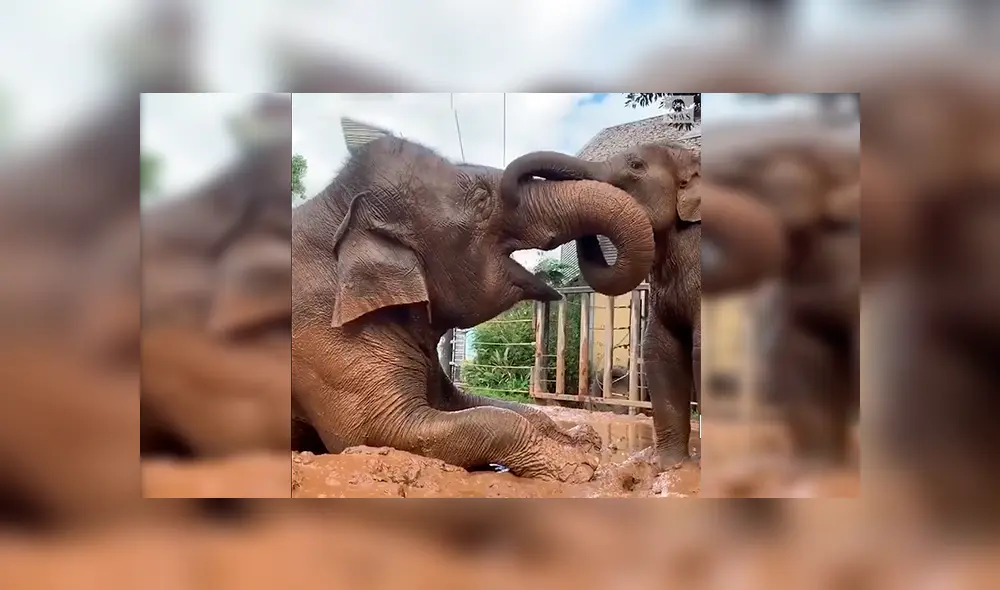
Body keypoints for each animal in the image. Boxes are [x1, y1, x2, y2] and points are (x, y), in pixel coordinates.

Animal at [291, 136, 656, 483]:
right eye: (482, 198)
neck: (334, 208)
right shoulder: (326, 337)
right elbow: (377, 430)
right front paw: (577, 467)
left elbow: (479, 405)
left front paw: (582, 441)